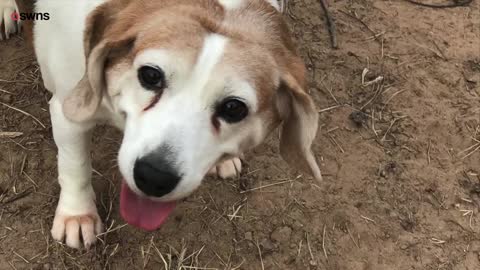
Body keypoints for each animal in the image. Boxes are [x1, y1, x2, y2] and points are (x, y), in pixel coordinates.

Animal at [19, 0, 326, 249]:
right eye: (150, 75)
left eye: (233, 108)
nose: (154, 177)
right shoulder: (68, 108)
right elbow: (76, 165)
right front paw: (77, 214)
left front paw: (225, 160)